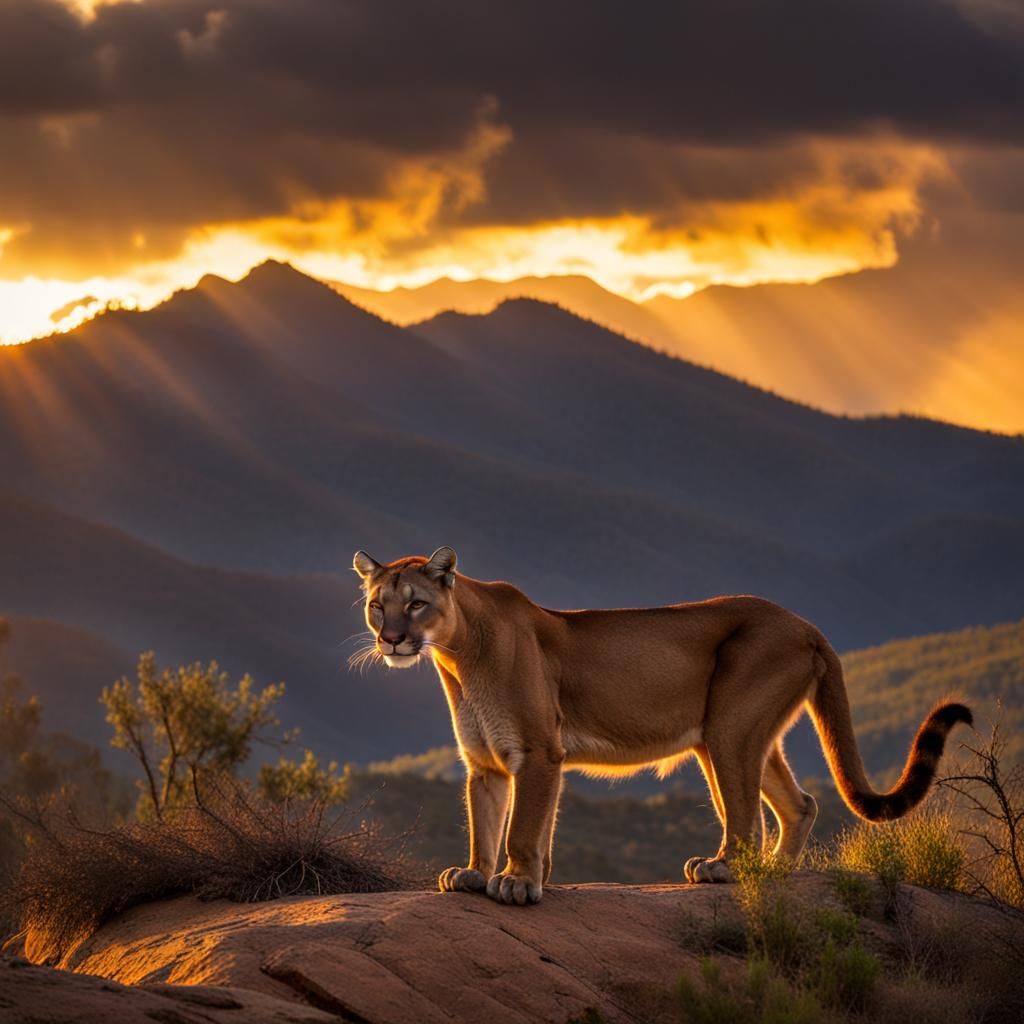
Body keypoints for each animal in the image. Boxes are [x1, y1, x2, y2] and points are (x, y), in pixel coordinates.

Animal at [352, 547, 971, 905]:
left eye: (416, 603)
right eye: (377, 605)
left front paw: (519, 882)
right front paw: (476, 874)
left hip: (728, 731)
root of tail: (803, 622)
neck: (457, 655)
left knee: (746, 817)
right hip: (740, 734)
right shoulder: (485, 764)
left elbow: (523, 828)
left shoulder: (539, 752)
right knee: (800, 804)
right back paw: (773, 873)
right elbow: (486, 825)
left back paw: (724, 869)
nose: (390, 639)